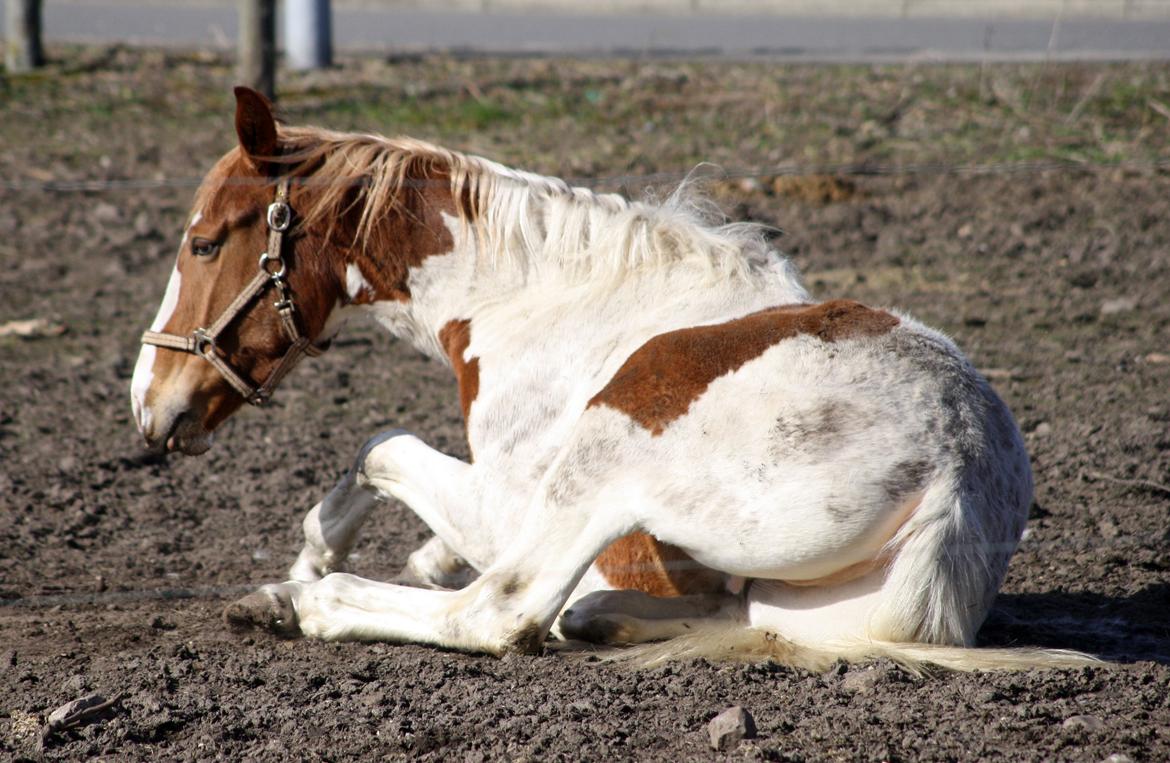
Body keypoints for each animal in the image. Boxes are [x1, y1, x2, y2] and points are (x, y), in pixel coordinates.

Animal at [132, 89, 1090, 669]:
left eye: (205, 241)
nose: (149, 404)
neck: (537, 298)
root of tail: (958, 469)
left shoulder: (516, 501)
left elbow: (383, 447)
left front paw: (309, 564)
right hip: (798, 605)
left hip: (609, 451)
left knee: (502, 609)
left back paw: (303, 602)